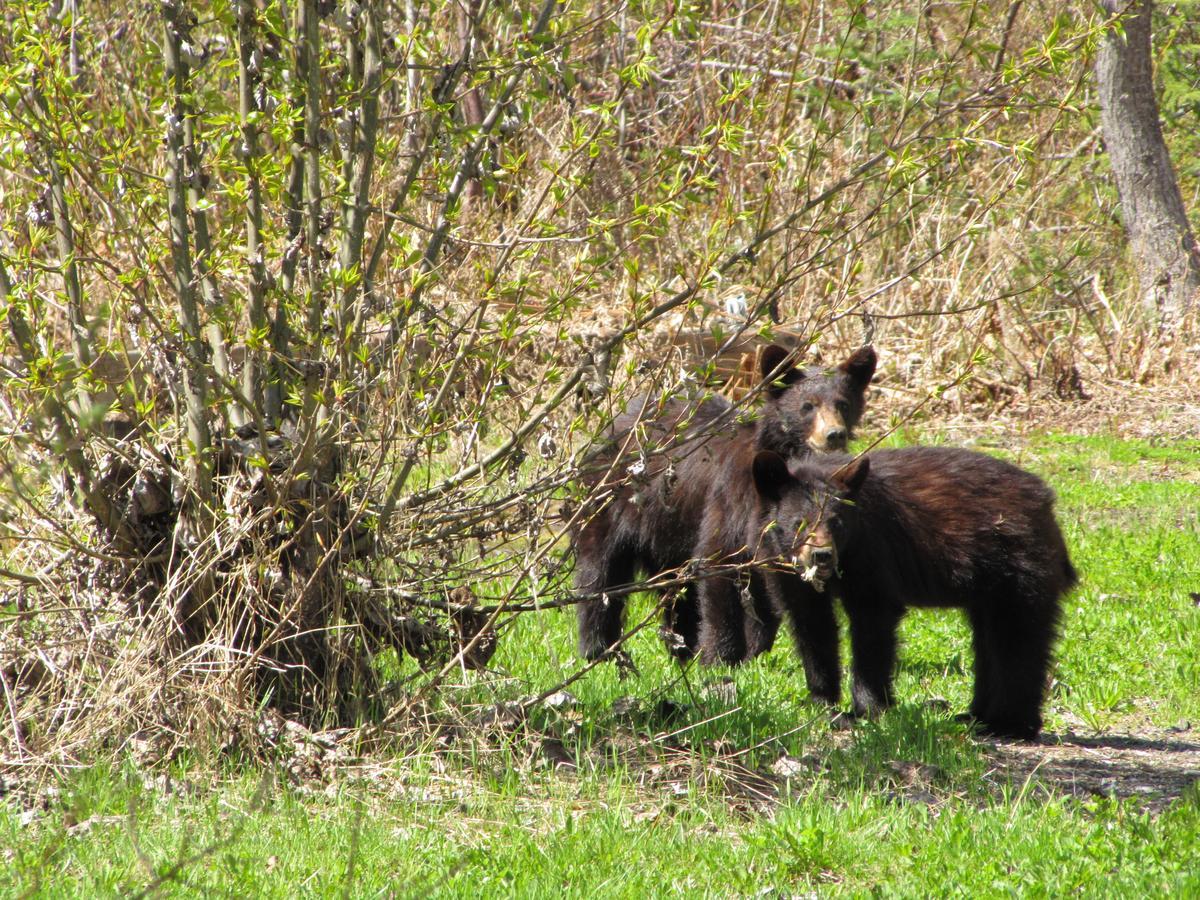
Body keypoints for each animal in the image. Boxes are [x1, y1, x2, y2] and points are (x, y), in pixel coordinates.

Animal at [576, 345, 878, 662]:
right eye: (808, 406)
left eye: (843, 404)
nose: (834, 434)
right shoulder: (730, 499)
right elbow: (718, 566)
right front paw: (720, 656)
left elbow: (762, 596)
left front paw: (753, 653)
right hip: (610, 502)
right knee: (600, 570)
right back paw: (599, 649)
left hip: (670, 529)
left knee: (677, 588)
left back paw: (681, 647)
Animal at [739, 448, 1080, 739]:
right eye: (800, 523)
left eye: (836, 523)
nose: (822, 556)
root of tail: (1046, 503)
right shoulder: (784, 571)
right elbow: (812, 626)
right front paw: (821, 702)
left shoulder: (870, 550)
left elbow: (872, 621)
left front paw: (868, 709)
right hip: (989, 586)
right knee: (988, 642)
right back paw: (975, 716)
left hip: (1019, 566)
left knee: (1017, 639)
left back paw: (1009, 725)